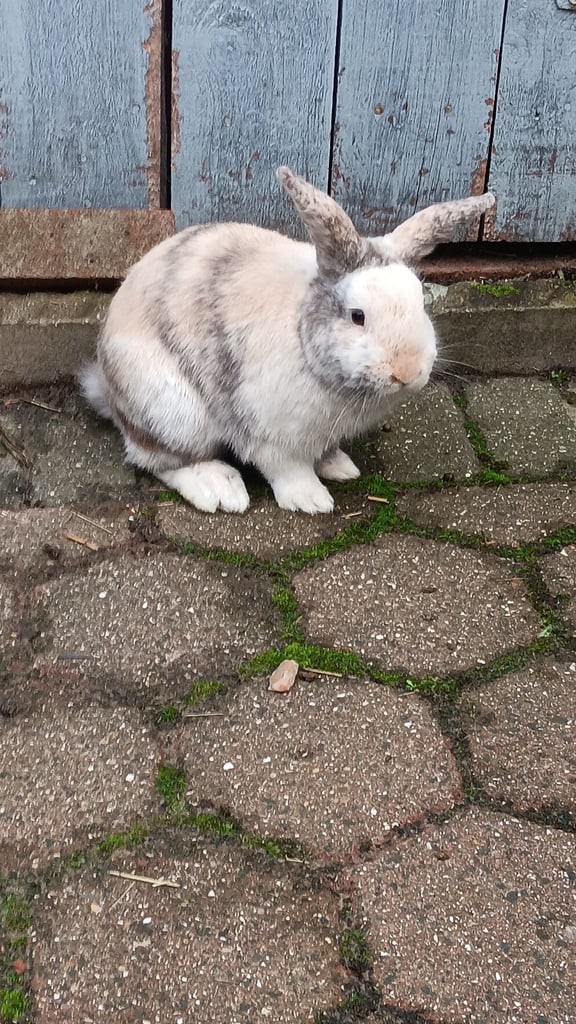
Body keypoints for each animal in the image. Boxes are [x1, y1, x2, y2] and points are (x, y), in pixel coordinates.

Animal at [81, 167, 494, 514]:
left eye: (420, 302)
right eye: (357, 316)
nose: (407, 372)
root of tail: (105, 388)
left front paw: (338, 465)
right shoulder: (272, 435)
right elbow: (288, 470)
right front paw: (312, 501)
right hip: (174, 414)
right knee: (157, 460)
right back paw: (220, 490)